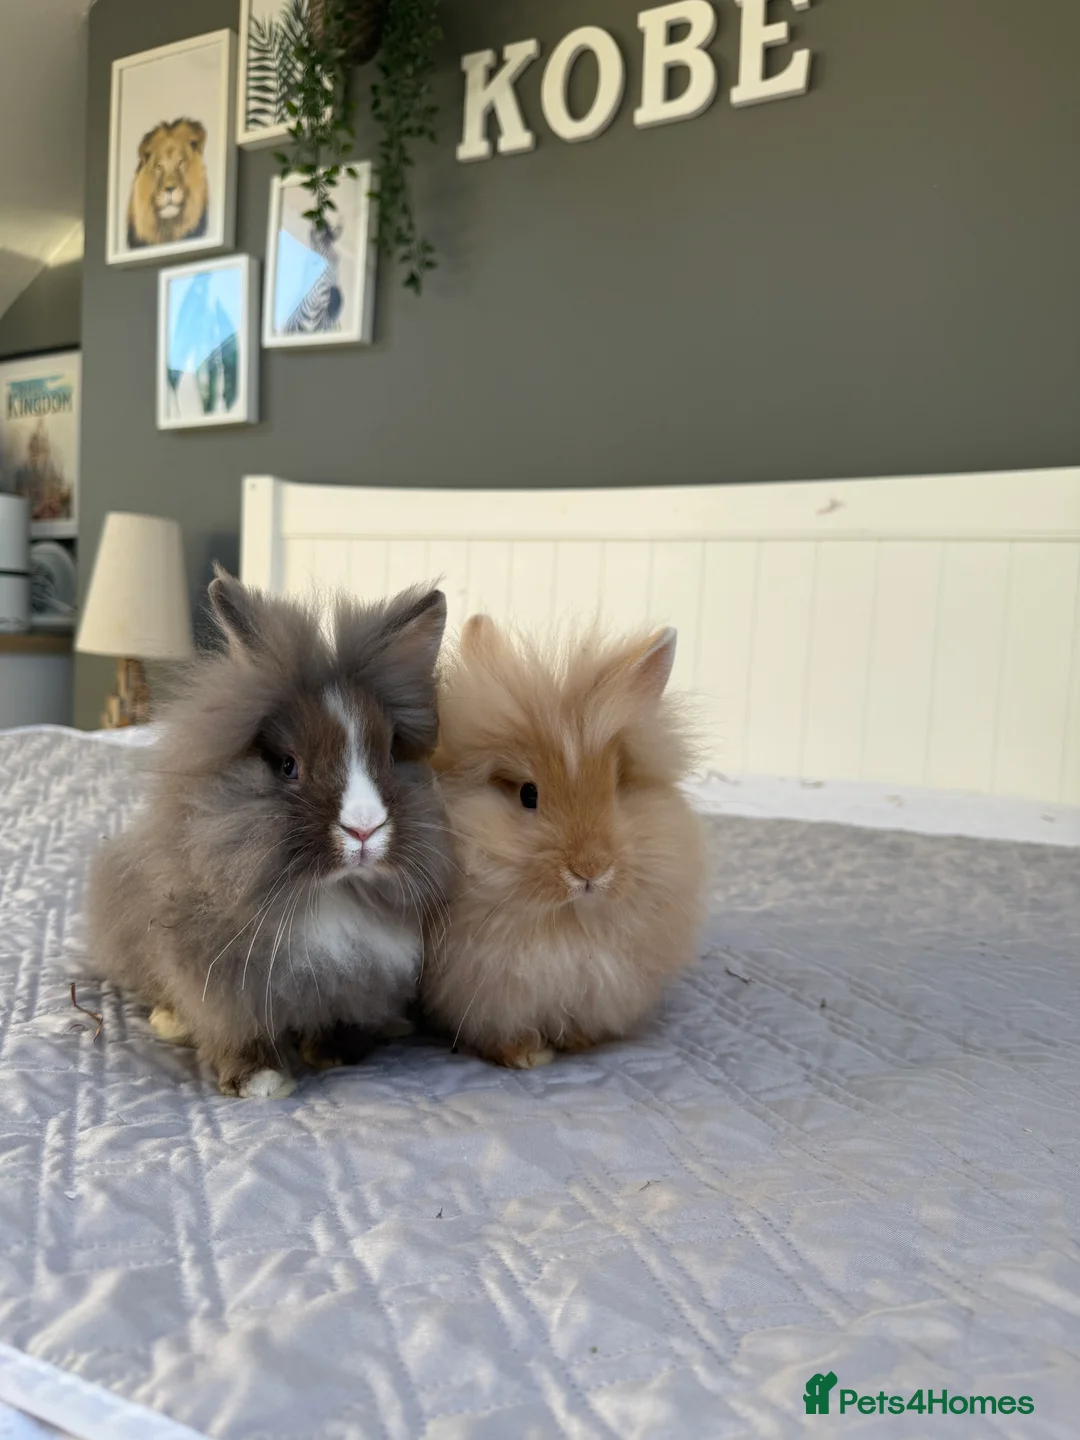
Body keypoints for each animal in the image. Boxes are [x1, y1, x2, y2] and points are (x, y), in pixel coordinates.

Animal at [87, 568, 455, 1097]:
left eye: (389, 756)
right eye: (287, 765)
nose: (364, 829)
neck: (329, 895)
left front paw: (332, 1054)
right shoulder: (221, 984)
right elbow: (238, 1032)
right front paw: (260, 1082)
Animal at [421, 615, 707, 1069]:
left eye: (617, 786)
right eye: (528, 794)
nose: (590, 870)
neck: (568, 922)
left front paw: (577, 1043)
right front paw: (527, 1056)